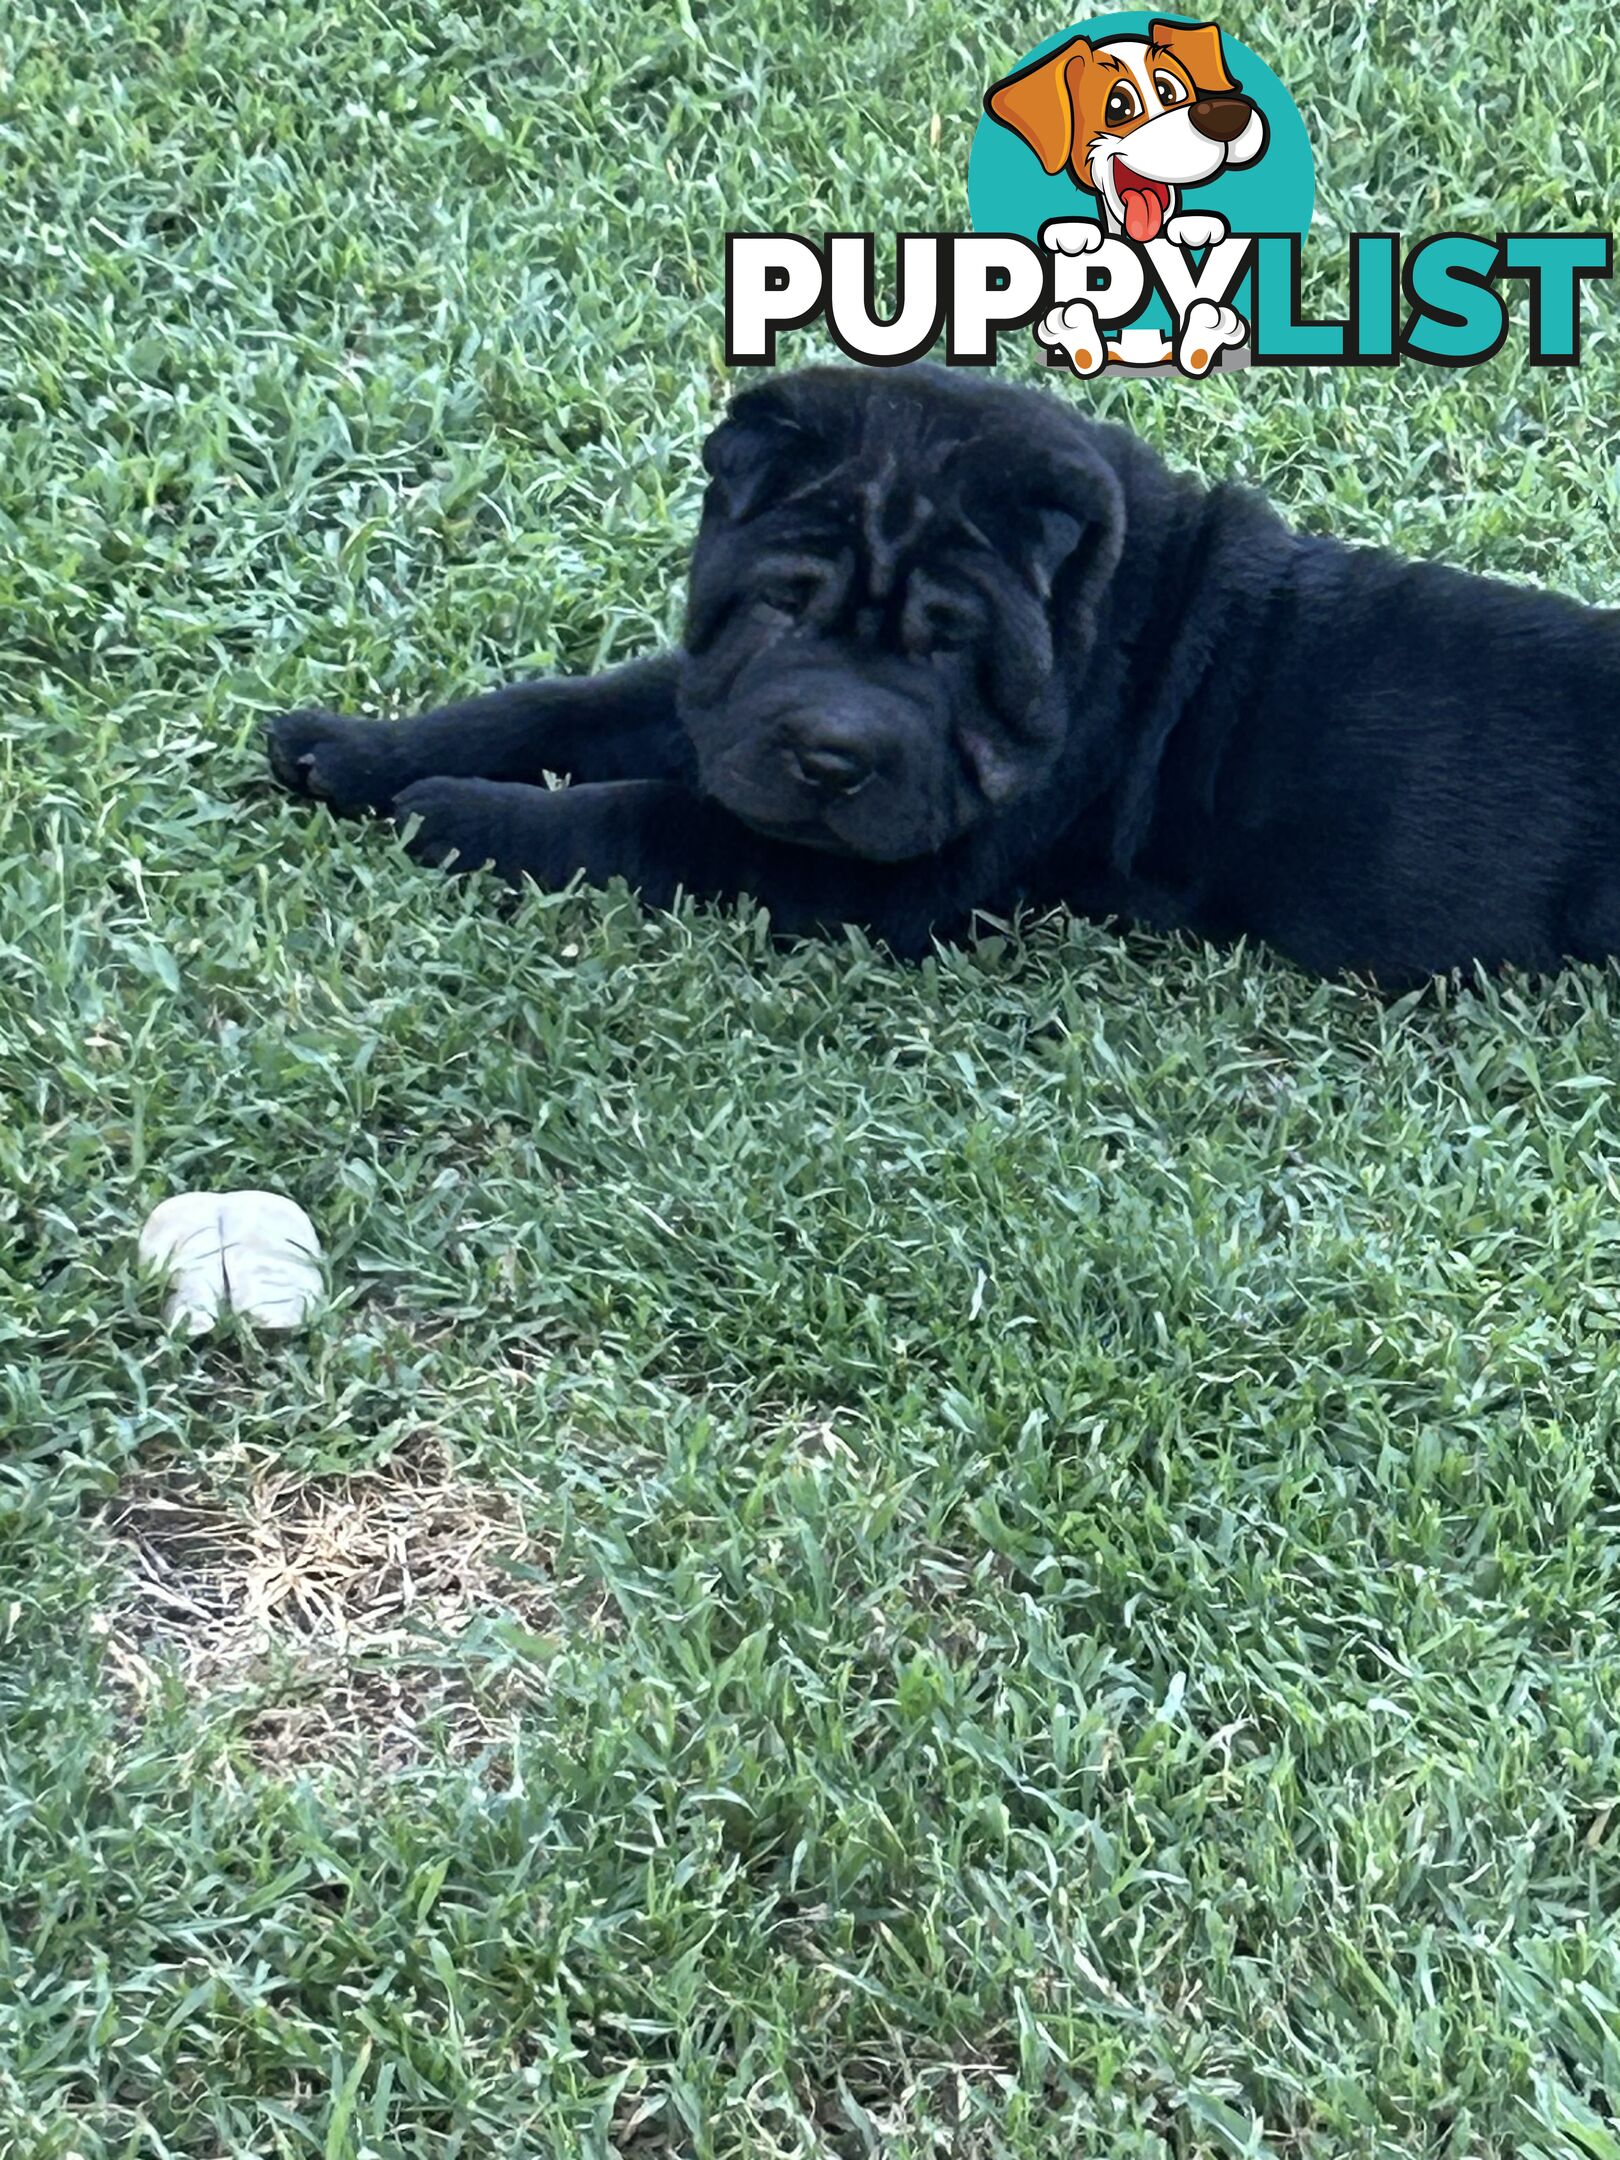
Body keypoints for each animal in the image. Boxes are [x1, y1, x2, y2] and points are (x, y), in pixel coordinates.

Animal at [273, 365, 1620, 989]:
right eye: (784, 604)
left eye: (952, 650)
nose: (830, 755)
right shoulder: (718, 703)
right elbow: (570, 704)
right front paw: (353, 747)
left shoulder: (867, 874)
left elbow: (642, 818)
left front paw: (455, 814)